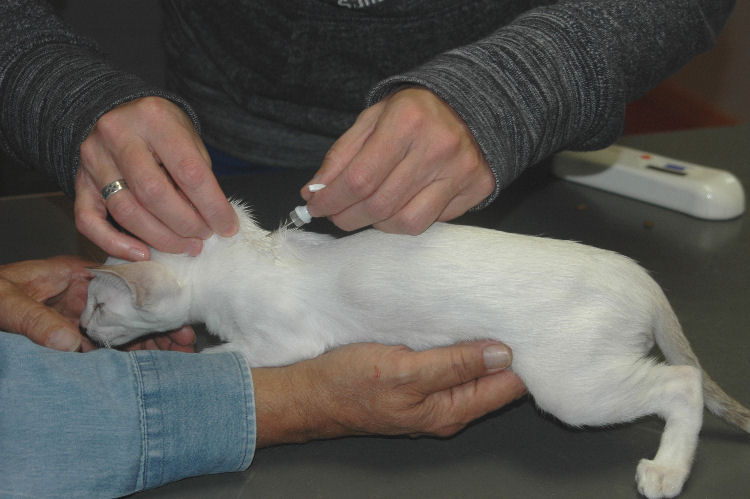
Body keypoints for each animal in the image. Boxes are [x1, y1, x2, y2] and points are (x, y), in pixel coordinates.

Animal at [81, 200, 749, 499]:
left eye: (100, 306)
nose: (84, 331)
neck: (244, 256)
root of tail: (643, 279)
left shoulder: (287, 339)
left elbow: (227, 356)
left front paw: (182, 358)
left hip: (575, 389)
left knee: (682, 384)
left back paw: (667, 470)